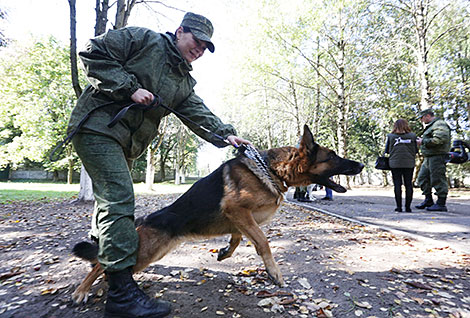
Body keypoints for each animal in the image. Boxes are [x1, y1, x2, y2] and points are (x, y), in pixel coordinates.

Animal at [71, 124, 364, 304]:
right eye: (333, 156)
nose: (362, 164)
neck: (272, 169)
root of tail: (144, 221)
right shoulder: (237, 210)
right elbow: (263, 241)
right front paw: (274, 272)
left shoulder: (239, 218)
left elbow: (239, 238)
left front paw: (225, 252)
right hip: (145, 253)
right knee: (100, 264)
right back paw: (82, 290)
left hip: (152, 255)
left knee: (108, 268)